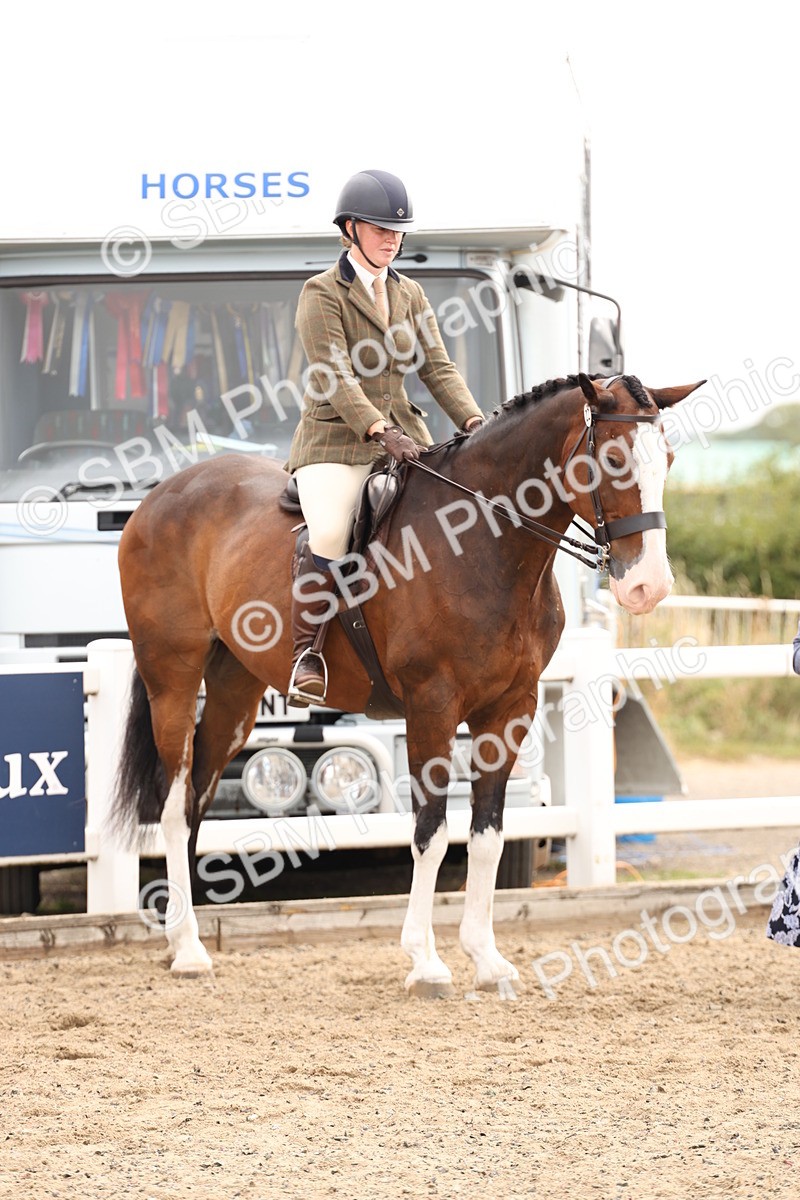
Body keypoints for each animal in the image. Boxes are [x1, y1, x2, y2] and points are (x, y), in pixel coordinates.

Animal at [113, 372, 704, 995]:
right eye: (612, 460)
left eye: (667, 459)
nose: (649, 587)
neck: (484, 545)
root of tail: (159, 494)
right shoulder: (431, 706)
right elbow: (431, 831)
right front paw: (425, 962)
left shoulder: (510, 709)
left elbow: (488, 834)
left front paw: (486, 959)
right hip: (173, 679)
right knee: (174, 805)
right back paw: (188, 952)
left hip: (234, 689)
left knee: (197, 799)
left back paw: (184, 939)